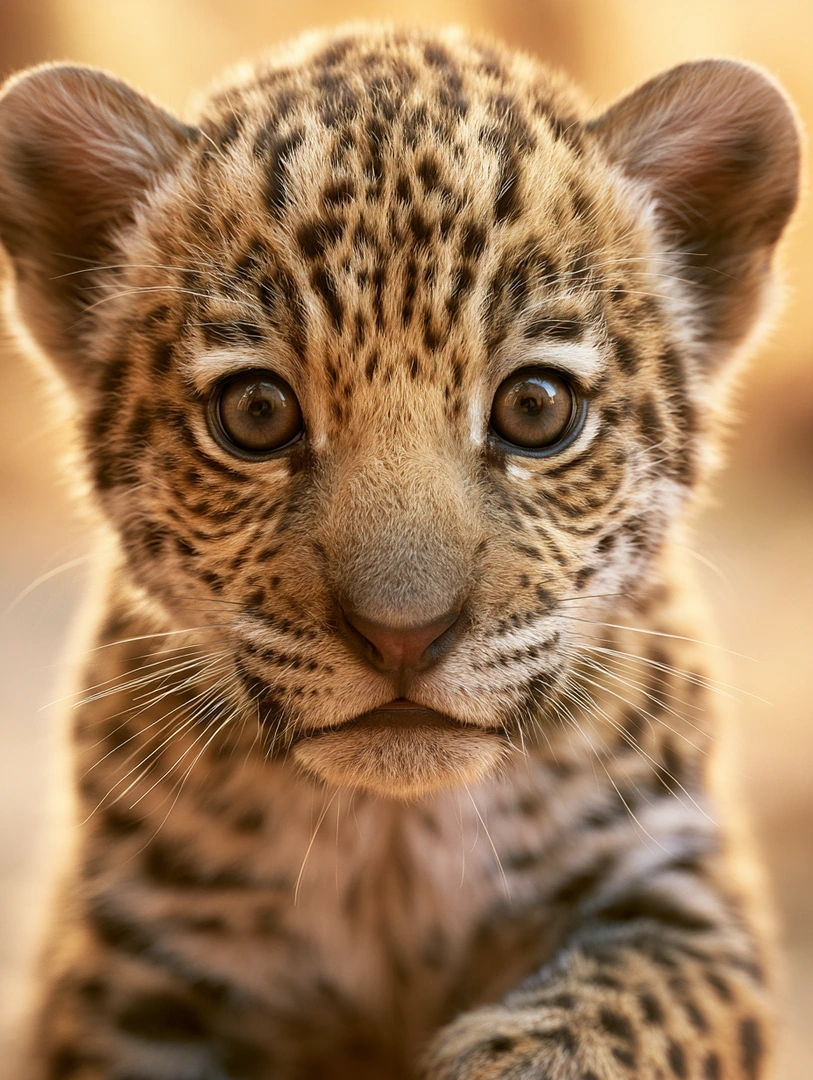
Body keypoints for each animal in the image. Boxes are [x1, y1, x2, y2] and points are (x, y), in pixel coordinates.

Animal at [0, 22, 801, 1080]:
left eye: (535, 408)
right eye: (255, 414)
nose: (402, 636)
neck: (387, 835)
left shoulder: (686, 897)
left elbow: (609, 1019)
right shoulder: (127, 968)